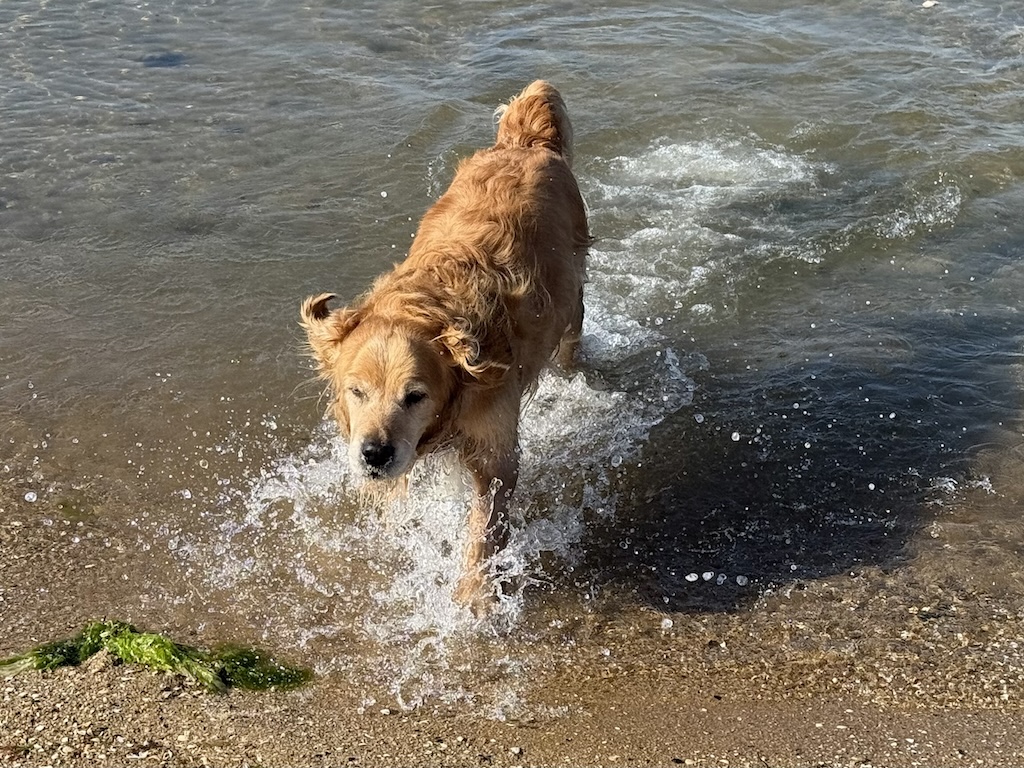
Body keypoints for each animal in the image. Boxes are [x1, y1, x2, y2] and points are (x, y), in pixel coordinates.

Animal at [299, 82, 589, 614]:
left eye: (415, 396)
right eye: (356, 392)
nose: (373, 455)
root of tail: (526, 144)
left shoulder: (494, 449)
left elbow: (484, 529)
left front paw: (474, 596)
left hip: (573, 298)